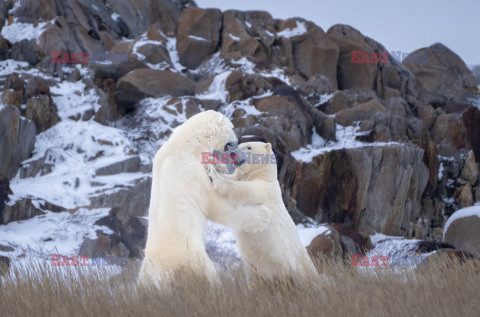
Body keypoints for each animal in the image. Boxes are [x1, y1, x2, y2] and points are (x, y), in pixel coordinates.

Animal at [138, 110, 237, 284]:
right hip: (193, 257)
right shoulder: (190, 171)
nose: (236, 142)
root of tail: (159, 271)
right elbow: (209, 199)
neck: (186, 145)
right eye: (231, 127)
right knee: (208, 274)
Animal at [204, 142, 316, 278]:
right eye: (239, 145)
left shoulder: (264, 190)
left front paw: (213, 174)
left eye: (249, 147)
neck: (261, 174)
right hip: (257, 270)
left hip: (295, 264)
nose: (233, 153)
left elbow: (241, 191)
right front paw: (213, 163)